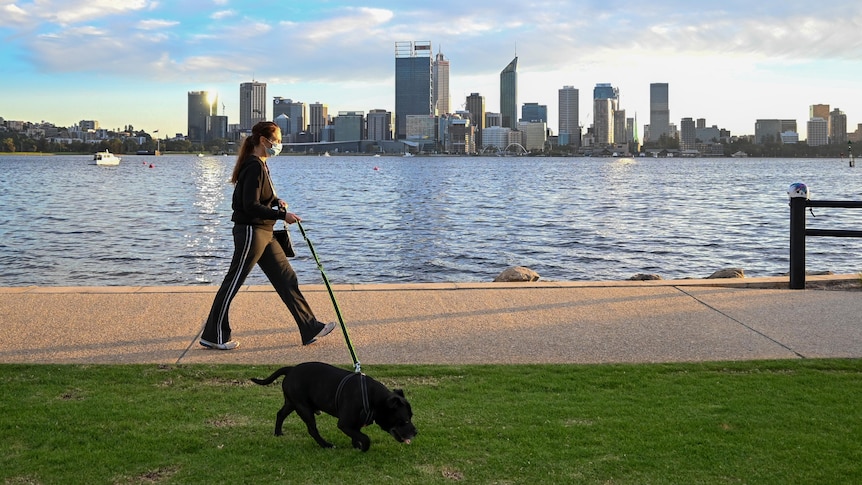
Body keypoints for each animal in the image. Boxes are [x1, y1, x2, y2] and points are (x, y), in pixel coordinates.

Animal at [250, 360, 418, 450]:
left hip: (292, 402)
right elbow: (365, 437)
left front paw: (356, 445)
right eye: (405, 421)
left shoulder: (354, 424)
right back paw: (326, 445)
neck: (373, 398)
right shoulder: (344, 424)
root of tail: (291, 369)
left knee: (280, 414)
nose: (416, 432)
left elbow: (357, 434)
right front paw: (363, 447)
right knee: (312, 430)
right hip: (303, 408)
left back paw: (278, 433)